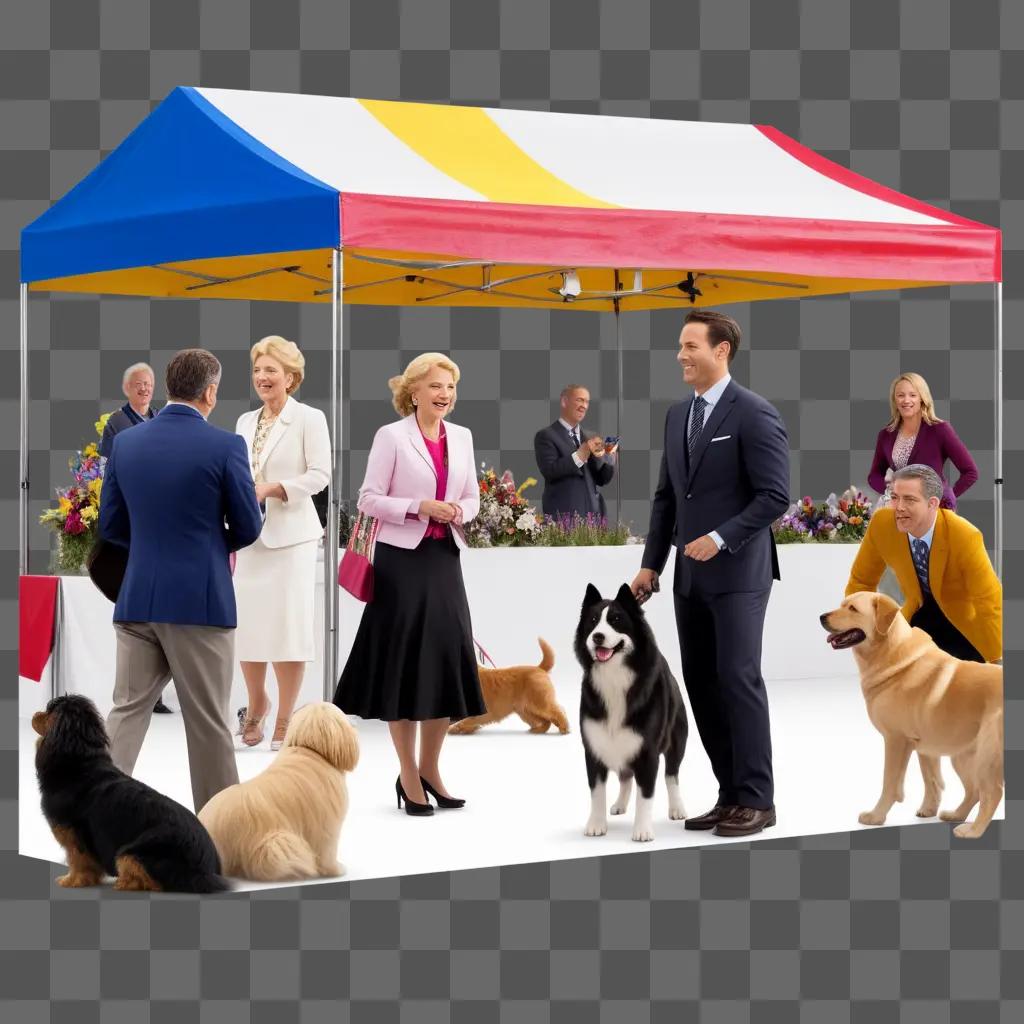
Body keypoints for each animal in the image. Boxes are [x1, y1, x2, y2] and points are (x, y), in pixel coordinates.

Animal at [34, 696, 232, 888]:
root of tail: (206, 869)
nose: (35, 714)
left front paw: (72, 880)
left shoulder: (75, 833)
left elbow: (78, 860)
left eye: (49, 710)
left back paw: (123, 882)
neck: (80, 762)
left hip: (133, 852)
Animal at [198, 704, 360, 880]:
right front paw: (336, 870)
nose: (355, 717)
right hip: (275, 842)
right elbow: (327, 851)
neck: (309, 749)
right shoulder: (326, 826)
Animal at [577, 585, 688, 839]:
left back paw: (677, 808)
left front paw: (643, 830)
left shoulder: (648, 750)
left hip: (677, 740)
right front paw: (596, 824)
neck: (615, 677)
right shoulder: (594, 746)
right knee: (626, 776)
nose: (597, 636)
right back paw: (619, 804)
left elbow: (645, 794)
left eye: (616, 620)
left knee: (672, 775)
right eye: (593, 621)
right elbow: (596, 790)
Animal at [819, 593, 1003, 839]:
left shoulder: (895, 740)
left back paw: (972, 831)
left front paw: (876, 816)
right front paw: (928, 810)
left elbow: (889, 782)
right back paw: (956, 815)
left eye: (853, 609)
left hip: (987, 756)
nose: (821, 617)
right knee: (974, 790)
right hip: (962, 755)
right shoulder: (924, 747)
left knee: (992, 792)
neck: (890, 655)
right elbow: (932, 781)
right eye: (842, 605)